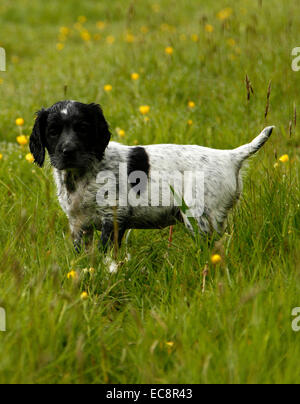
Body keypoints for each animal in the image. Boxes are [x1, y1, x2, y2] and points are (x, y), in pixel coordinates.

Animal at [29, 100, 274, 252]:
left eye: (83, 129)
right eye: (53, 131)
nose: (68, 151)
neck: (82, 175)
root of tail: (229, 156)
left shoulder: (113, 216)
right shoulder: (78, 225)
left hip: (199, 216)